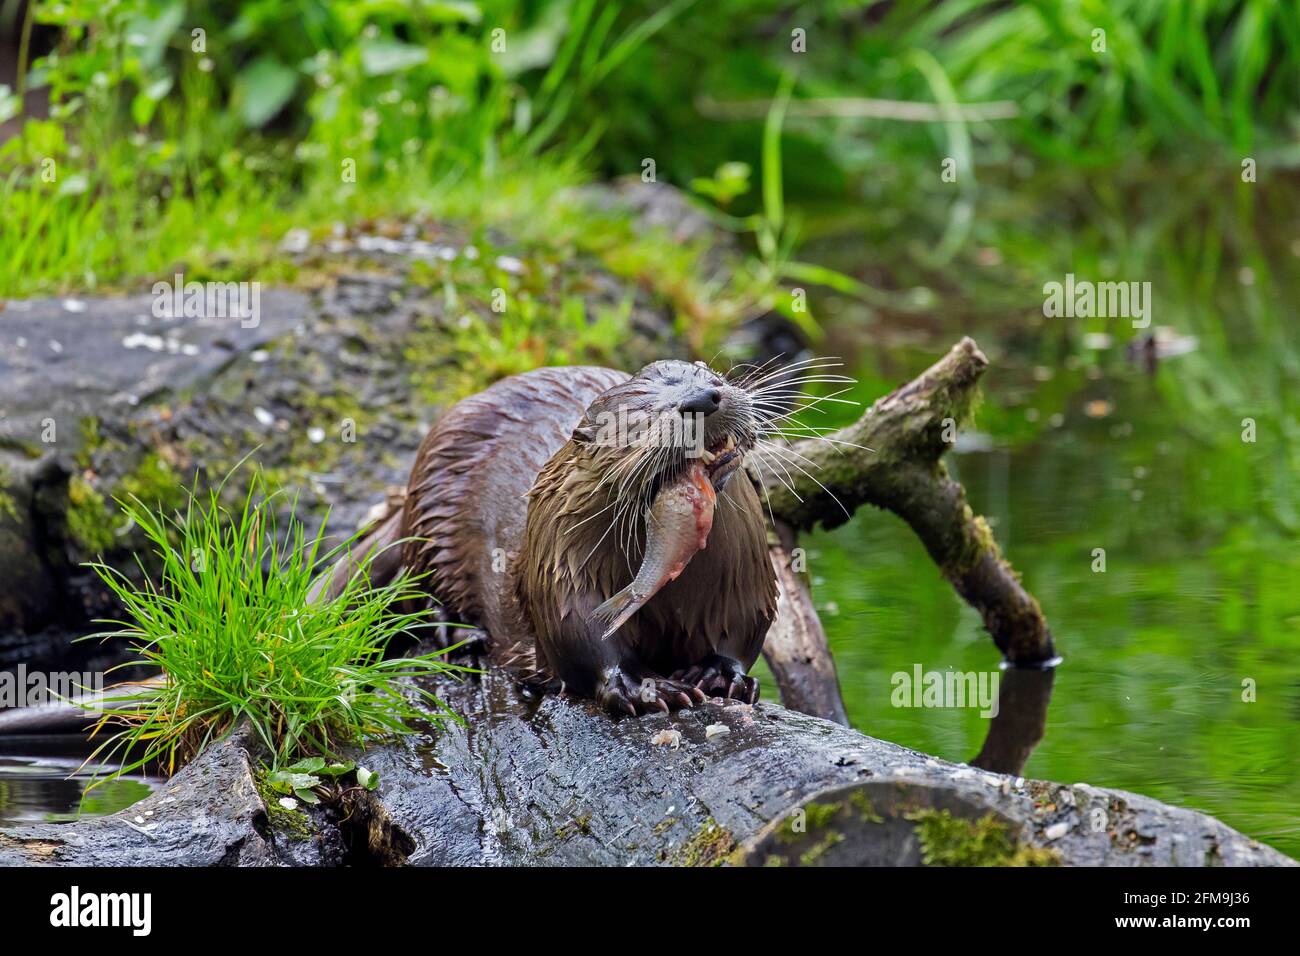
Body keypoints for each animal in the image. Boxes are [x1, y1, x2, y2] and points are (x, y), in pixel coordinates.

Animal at [318, 361, 774, 717]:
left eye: (710, 375)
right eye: (637, 420)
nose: (702, 399)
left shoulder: (744, 578)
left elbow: (743, 630)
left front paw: (719, 673)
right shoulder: (563, 566)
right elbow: (580, 635)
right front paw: (646, 687)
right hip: (432, 510)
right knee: (418, 588)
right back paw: (459, 633)